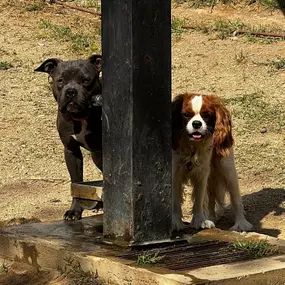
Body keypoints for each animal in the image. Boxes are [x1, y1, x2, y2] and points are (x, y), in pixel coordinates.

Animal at [35, 55, 102, 220]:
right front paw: (74, 211)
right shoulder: (71, 151)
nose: (71, 91)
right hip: (96, 156)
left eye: (86, 80)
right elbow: (76, 182)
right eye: (60, 80)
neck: (81, 117)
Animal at [171, 92, 251, 231]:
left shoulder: (202, 174)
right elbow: (176, 201)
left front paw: (199, 221)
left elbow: (199, 199)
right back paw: (211, 218)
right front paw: (176, 223)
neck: (192, 147)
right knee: (212, 198)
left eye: (206, 115)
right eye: (186, 114)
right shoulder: (175, 174)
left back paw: (241, 223)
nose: (196, 123)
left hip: (227, 167)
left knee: (235, 198)